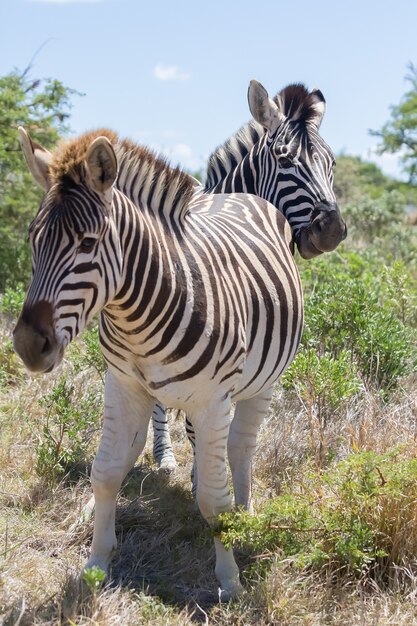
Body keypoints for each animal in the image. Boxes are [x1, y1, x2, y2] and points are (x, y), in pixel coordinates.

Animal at [13, 123, 302, 596]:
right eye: (33, 240)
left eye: (88, 243)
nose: (26, 345)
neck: (138, 312)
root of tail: (238, 195)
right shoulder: (123, 383)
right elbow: (106, 471)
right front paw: (96, 564)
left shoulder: (213, 400)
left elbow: (215, 499)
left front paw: (229, 579)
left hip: (263, 383)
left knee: (240, 449)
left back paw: (246, 516)